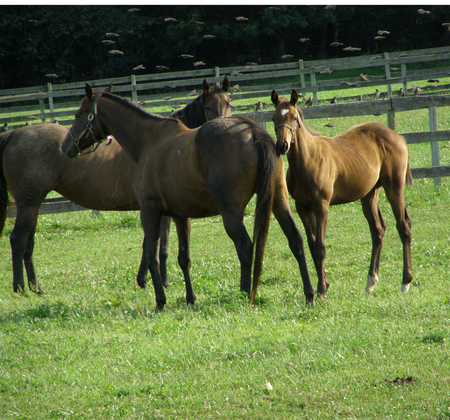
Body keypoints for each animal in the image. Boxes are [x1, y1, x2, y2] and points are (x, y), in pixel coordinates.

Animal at [0, 77, 232, 294]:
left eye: (229, 103)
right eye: (208, 107)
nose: (222, 128)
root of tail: (14, 134)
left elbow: (153, 245)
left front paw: (147, 280)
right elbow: (159, 247)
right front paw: (157, 281)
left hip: (33, 205)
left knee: (28, 244)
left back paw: (35, 287)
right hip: (29, 204)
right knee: (18, 240)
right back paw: (20, 287)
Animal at [60, 83, 316, 310]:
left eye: (79, 114)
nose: (65, 147)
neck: (149, 141)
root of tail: (253, 131)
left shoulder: (150, 212)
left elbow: (152, 255)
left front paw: (160, 300)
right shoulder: (180, 215)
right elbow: (183, 258)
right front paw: (190, 298)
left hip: (231, 213)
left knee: (245, 247)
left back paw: (244, 294)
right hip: (279, 202)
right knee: (296, 239)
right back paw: (310, 294)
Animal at [268, 90, 414, 296]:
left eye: (294, 118)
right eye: (273, 118)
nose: (282, 146)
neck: (308, 159)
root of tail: (398, 137)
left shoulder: (322, 206)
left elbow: (320, 247)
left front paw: (321, 289)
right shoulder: (303, 207)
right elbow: (312, 244)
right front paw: (325, 284)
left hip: (394, 186)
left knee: (403, 226)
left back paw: (405, 282)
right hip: (370, 194)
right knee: (377, 231)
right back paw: (370, 282)